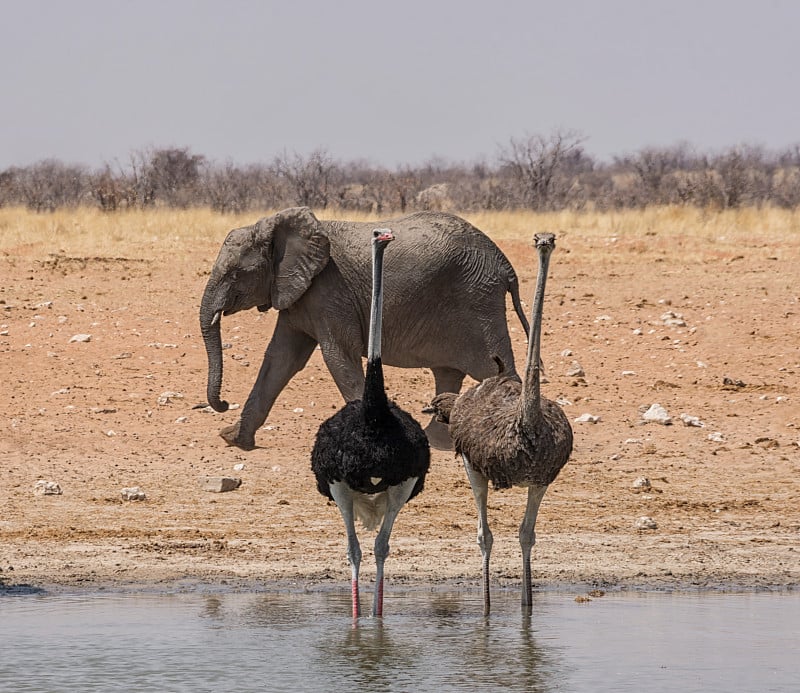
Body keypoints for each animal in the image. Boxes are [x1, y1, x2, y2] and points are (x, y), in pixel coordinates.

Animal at [198, 207, 532, 448]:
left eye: (236, 274)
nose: (223, 403)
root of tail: (505, 264)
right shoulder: (299, 295)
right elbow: (280, 360)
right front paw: (234, 439)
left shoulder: (330, 292)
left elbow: (338, 358)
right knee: (448, 372)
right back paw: (437, 442)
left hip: (479, 302)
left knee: (497, 371)